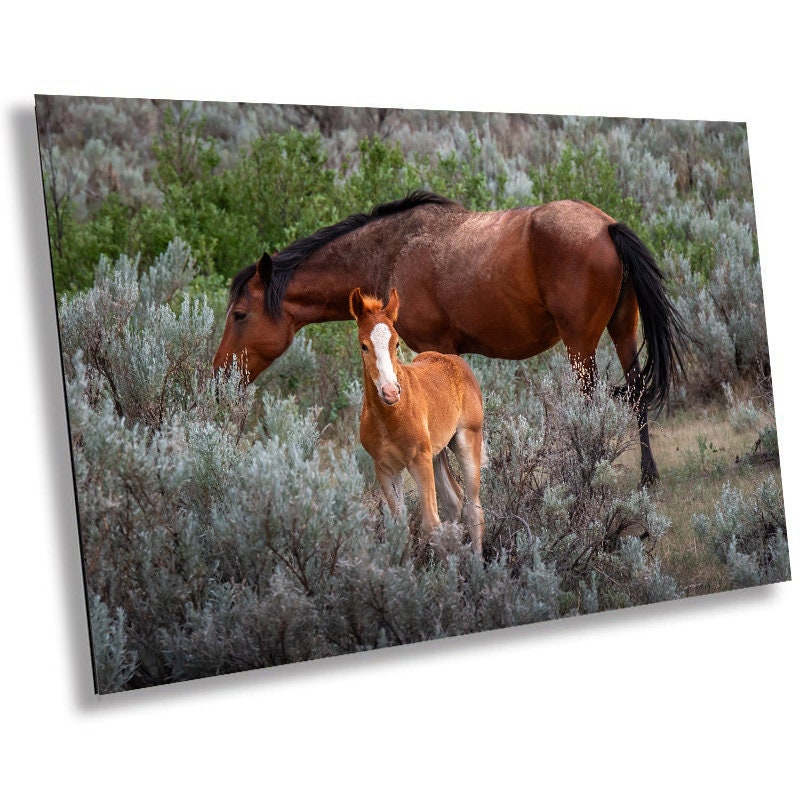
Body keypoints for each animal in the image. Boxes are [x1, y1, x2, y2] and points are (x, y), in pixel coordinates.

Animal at [214, 191, 688, 484]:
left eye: (239, 314)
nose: (219, 373)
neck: (392, 251)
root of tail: (607, 226)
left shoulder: (432, 348)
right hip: (622, 330)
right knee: (638, 393)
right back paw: (647, 477)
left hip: (580, 345)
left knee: (588, 407)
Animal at [352, 288, 488, 556]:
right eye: (364, 346)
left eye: (396, 343)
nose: (390, 392)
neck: (389, 417)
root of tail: (455, 361)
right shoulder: (385, 468)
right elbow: (399, 527)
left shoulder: (419, 460)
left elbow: (431, 525)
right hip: (436, 452)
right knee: (454, 499)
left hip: (466, 439)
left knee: (473, 508)